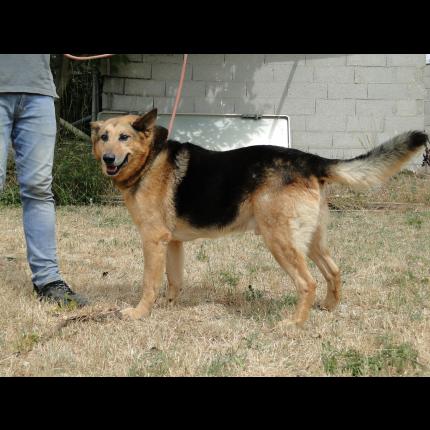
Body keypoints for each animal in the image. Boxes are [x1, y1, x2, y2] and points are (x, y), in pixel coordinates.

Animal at [90, 110, 426, 326]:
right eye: (104, 137)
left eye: (124, 137)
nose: (108, 159)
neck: (149, 160)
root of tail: (310, 160)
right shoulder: (172, 243)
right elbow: (173, 282)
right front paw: (168, 309)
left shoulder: (153, 240)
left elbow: (149, 283)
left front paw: (139, 313)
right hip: (310, 241)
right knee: (333, 272)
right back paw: (328, 309)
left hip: (279, 242)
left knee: (308, 282)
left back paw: (294, 324)